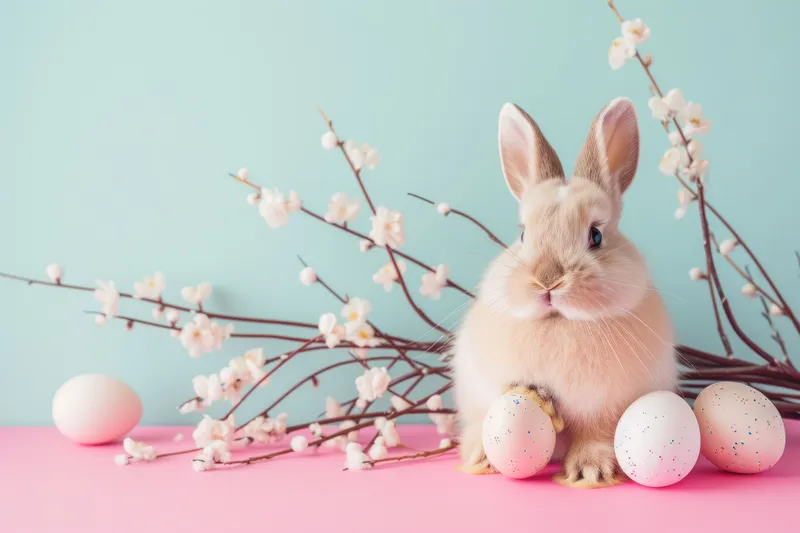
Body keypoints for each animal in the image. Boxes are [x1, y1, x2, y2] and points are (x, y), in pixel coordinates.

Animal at [452, 97, 677, 488]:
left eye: (596, 236)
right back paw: (479, 456)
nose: (548, 280)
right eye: (523, 234)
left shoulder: (605, 409)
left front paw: (590, 471)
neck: (559, 322)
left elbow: (595, 434)